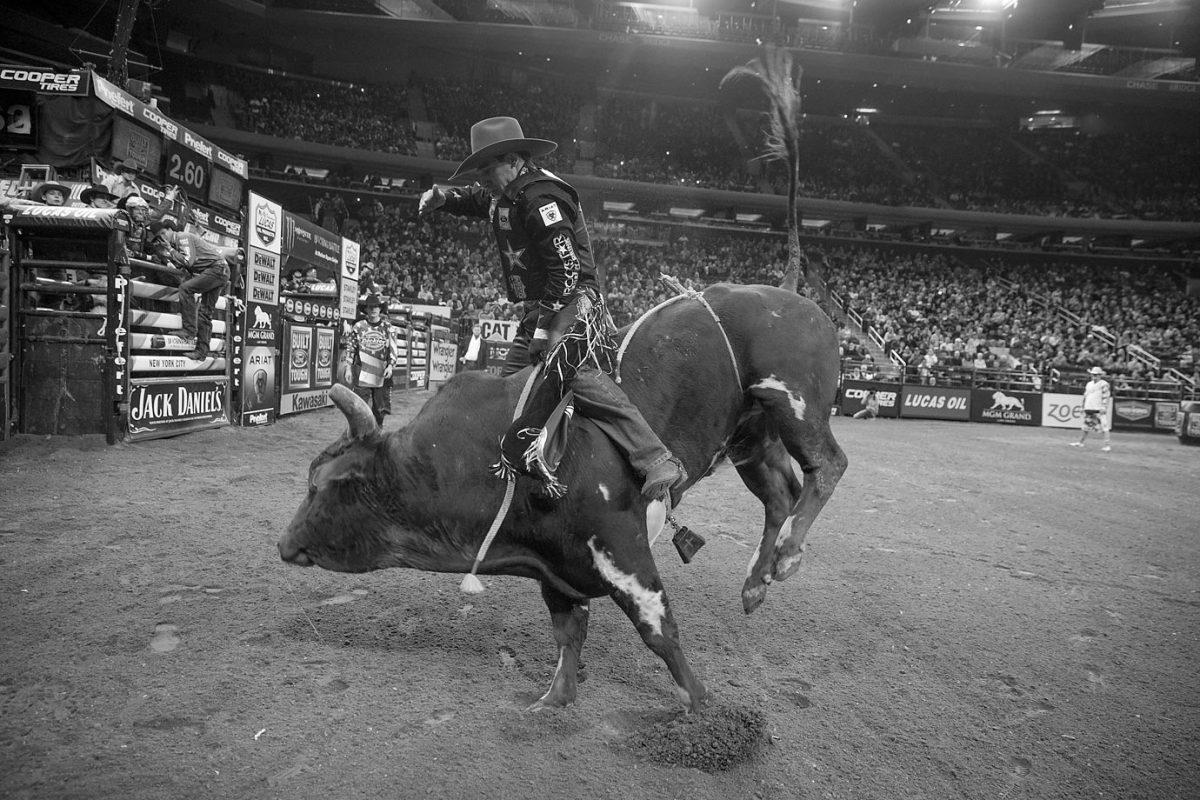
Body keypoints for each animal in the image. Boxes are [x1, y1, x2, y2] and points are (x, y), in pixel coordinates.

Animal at [278, 282, 847, 712]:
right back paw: (757, 582)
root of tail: (803, 302)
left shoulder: (621, 545)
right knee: (782, 495)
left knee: (827, 467)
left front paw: (700, 700)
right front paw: (554, 700)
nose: (283, 545)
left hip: (793, 401)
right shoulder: (555, 567)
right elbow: (568, 634)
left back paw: (788, 554)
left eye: (317, 487)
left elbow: (658, 628)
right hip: (752, 439)